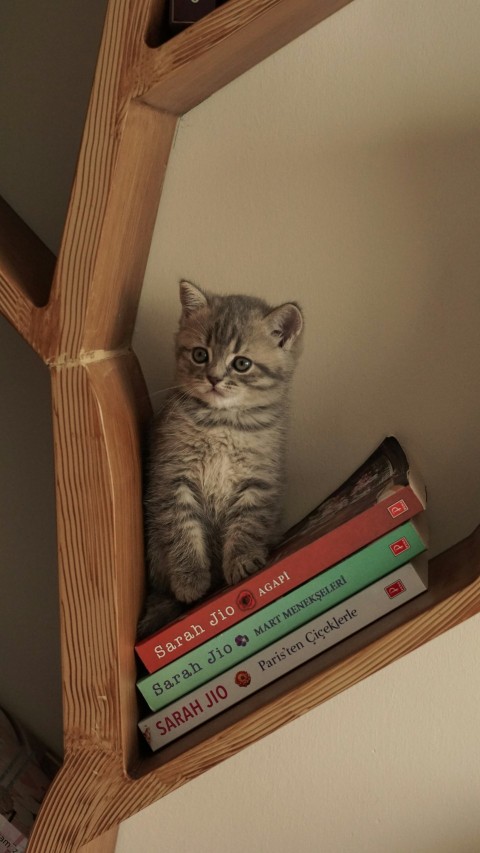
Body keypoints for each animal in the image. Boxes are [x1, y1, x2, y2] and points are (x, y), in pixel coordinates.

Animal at [137, 282, 304, 640]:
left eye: (241, 364)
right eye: (200, 354)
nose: (213, 378)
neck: (223, 423)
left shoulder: (258, 479)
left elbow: (247, 523)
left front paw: (242, 560)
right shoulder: (172, 478)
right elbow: (182, 531)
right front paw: (190, 579)